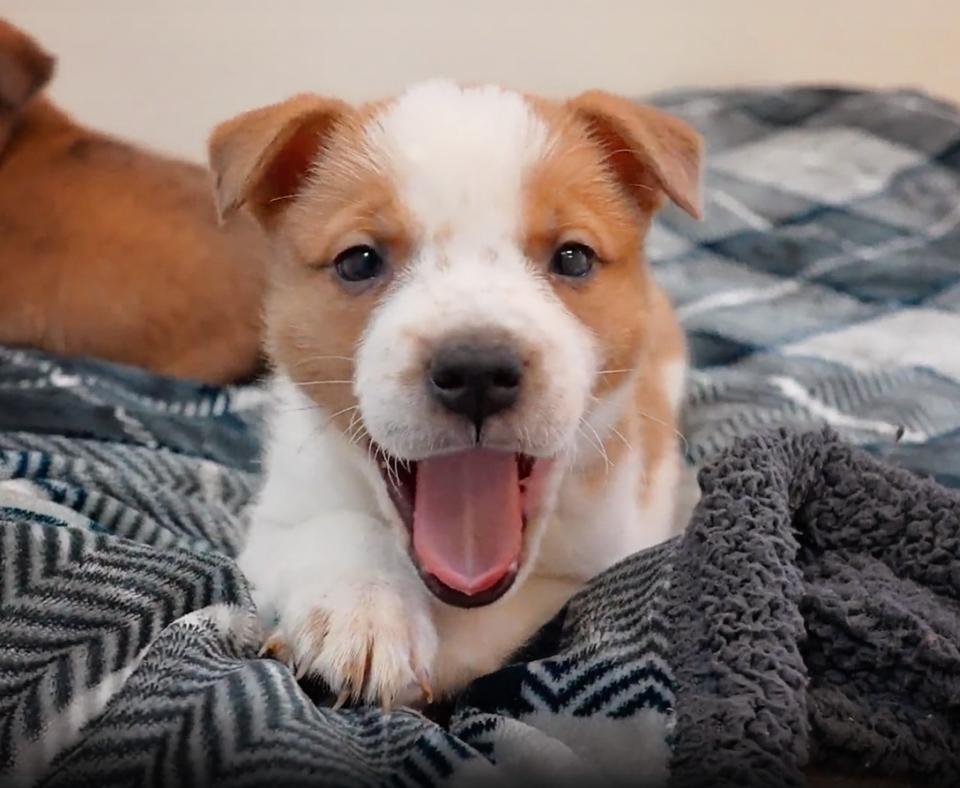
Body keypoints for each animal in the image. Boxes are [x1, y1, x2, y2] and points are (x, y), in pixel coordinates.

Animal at [212, 80, 704, 708]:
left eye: (573, 257)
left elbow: (502, 624)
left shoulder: (614, 552)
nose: (477, 371)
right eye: (358, 261)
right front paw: (361, 609)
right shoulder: (276, 521)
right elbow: (334, 530)